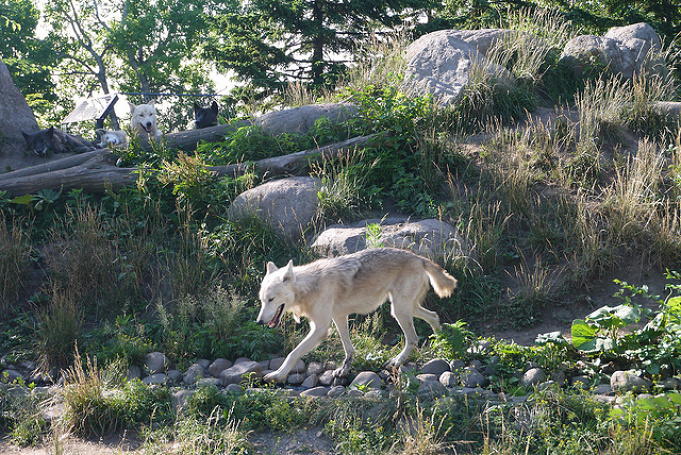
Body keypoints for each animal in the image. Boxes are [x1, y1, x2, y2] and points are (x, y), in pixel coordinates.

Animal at [255, 248, 456, 382]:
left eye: (271, 299)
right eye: (262, 300)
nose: (259, 322)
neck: (310, 286)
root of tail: (419, 258)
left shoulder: (320, 329)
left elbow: (293, 353)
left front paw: (277, 375)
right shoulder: (338, 317)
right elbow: (349, 348)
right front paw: (344, 370)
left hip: (399, 310)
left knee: (413, 338)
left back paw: (397, 361)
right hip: (405, 308)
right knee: (433, 316)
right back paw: (442, 342)